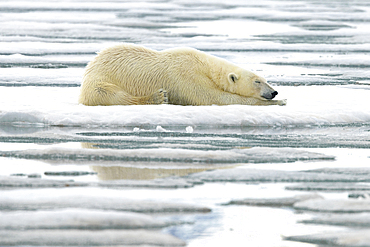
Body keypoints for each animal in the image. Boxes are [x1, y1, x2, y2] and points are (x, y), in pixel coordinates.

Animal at [78, 44, 286, 105]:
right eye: (257, 81)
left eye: (266, 80)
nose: (274, 92)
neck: (205, 67)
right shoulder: (186, 75)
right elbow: (212, 97)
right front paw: (279, 102)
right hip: (101, 80)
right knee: (113, 95)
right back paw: (157, 97)